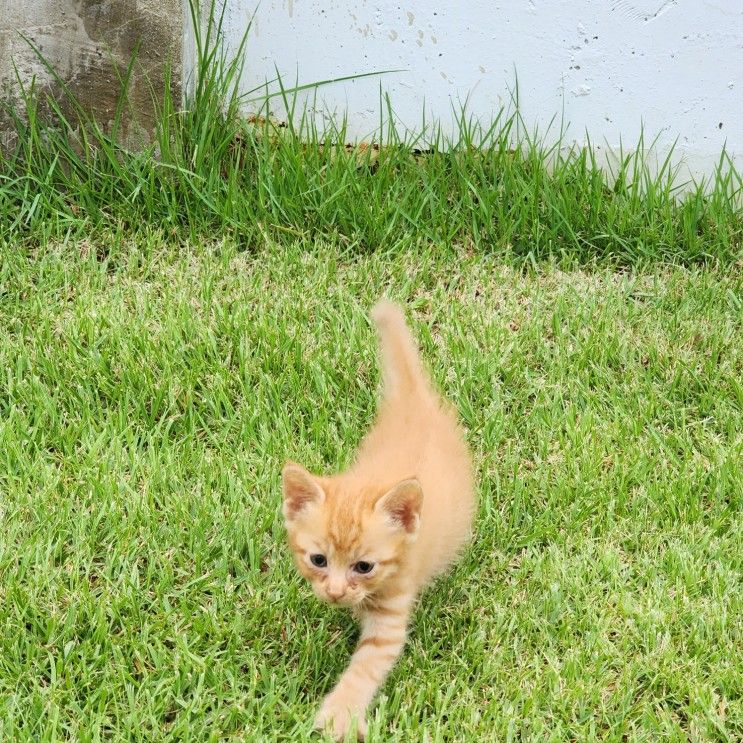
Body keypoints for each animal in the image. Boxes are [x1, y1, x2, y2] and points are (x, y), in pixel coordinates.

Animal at [282, 300, 474, 740]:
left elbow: (365, 667)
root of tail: (414, 402)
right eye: (318, 560)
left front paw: (338, 714)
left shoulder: (391, 613)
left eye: (364, 566)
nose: (335, 592)